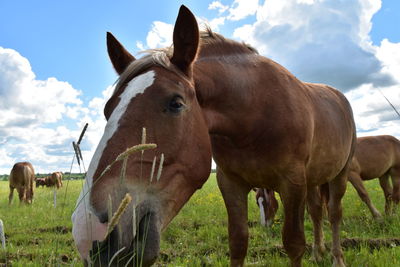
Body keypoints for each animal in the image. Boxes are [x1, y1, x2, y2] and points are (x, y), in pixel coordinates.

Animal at [72, 4, 356, 267]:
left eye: (176, 103)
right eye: (107, 109)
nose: (89, 233)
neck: (255, 115)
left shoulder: (293, 183)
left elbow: (294, 243)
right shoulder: (230, 183)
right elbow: (238, 241)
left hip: (338, 176)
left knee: (334, 214)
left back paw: (336, 257)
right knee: (317, 212)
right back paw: (318, 253)